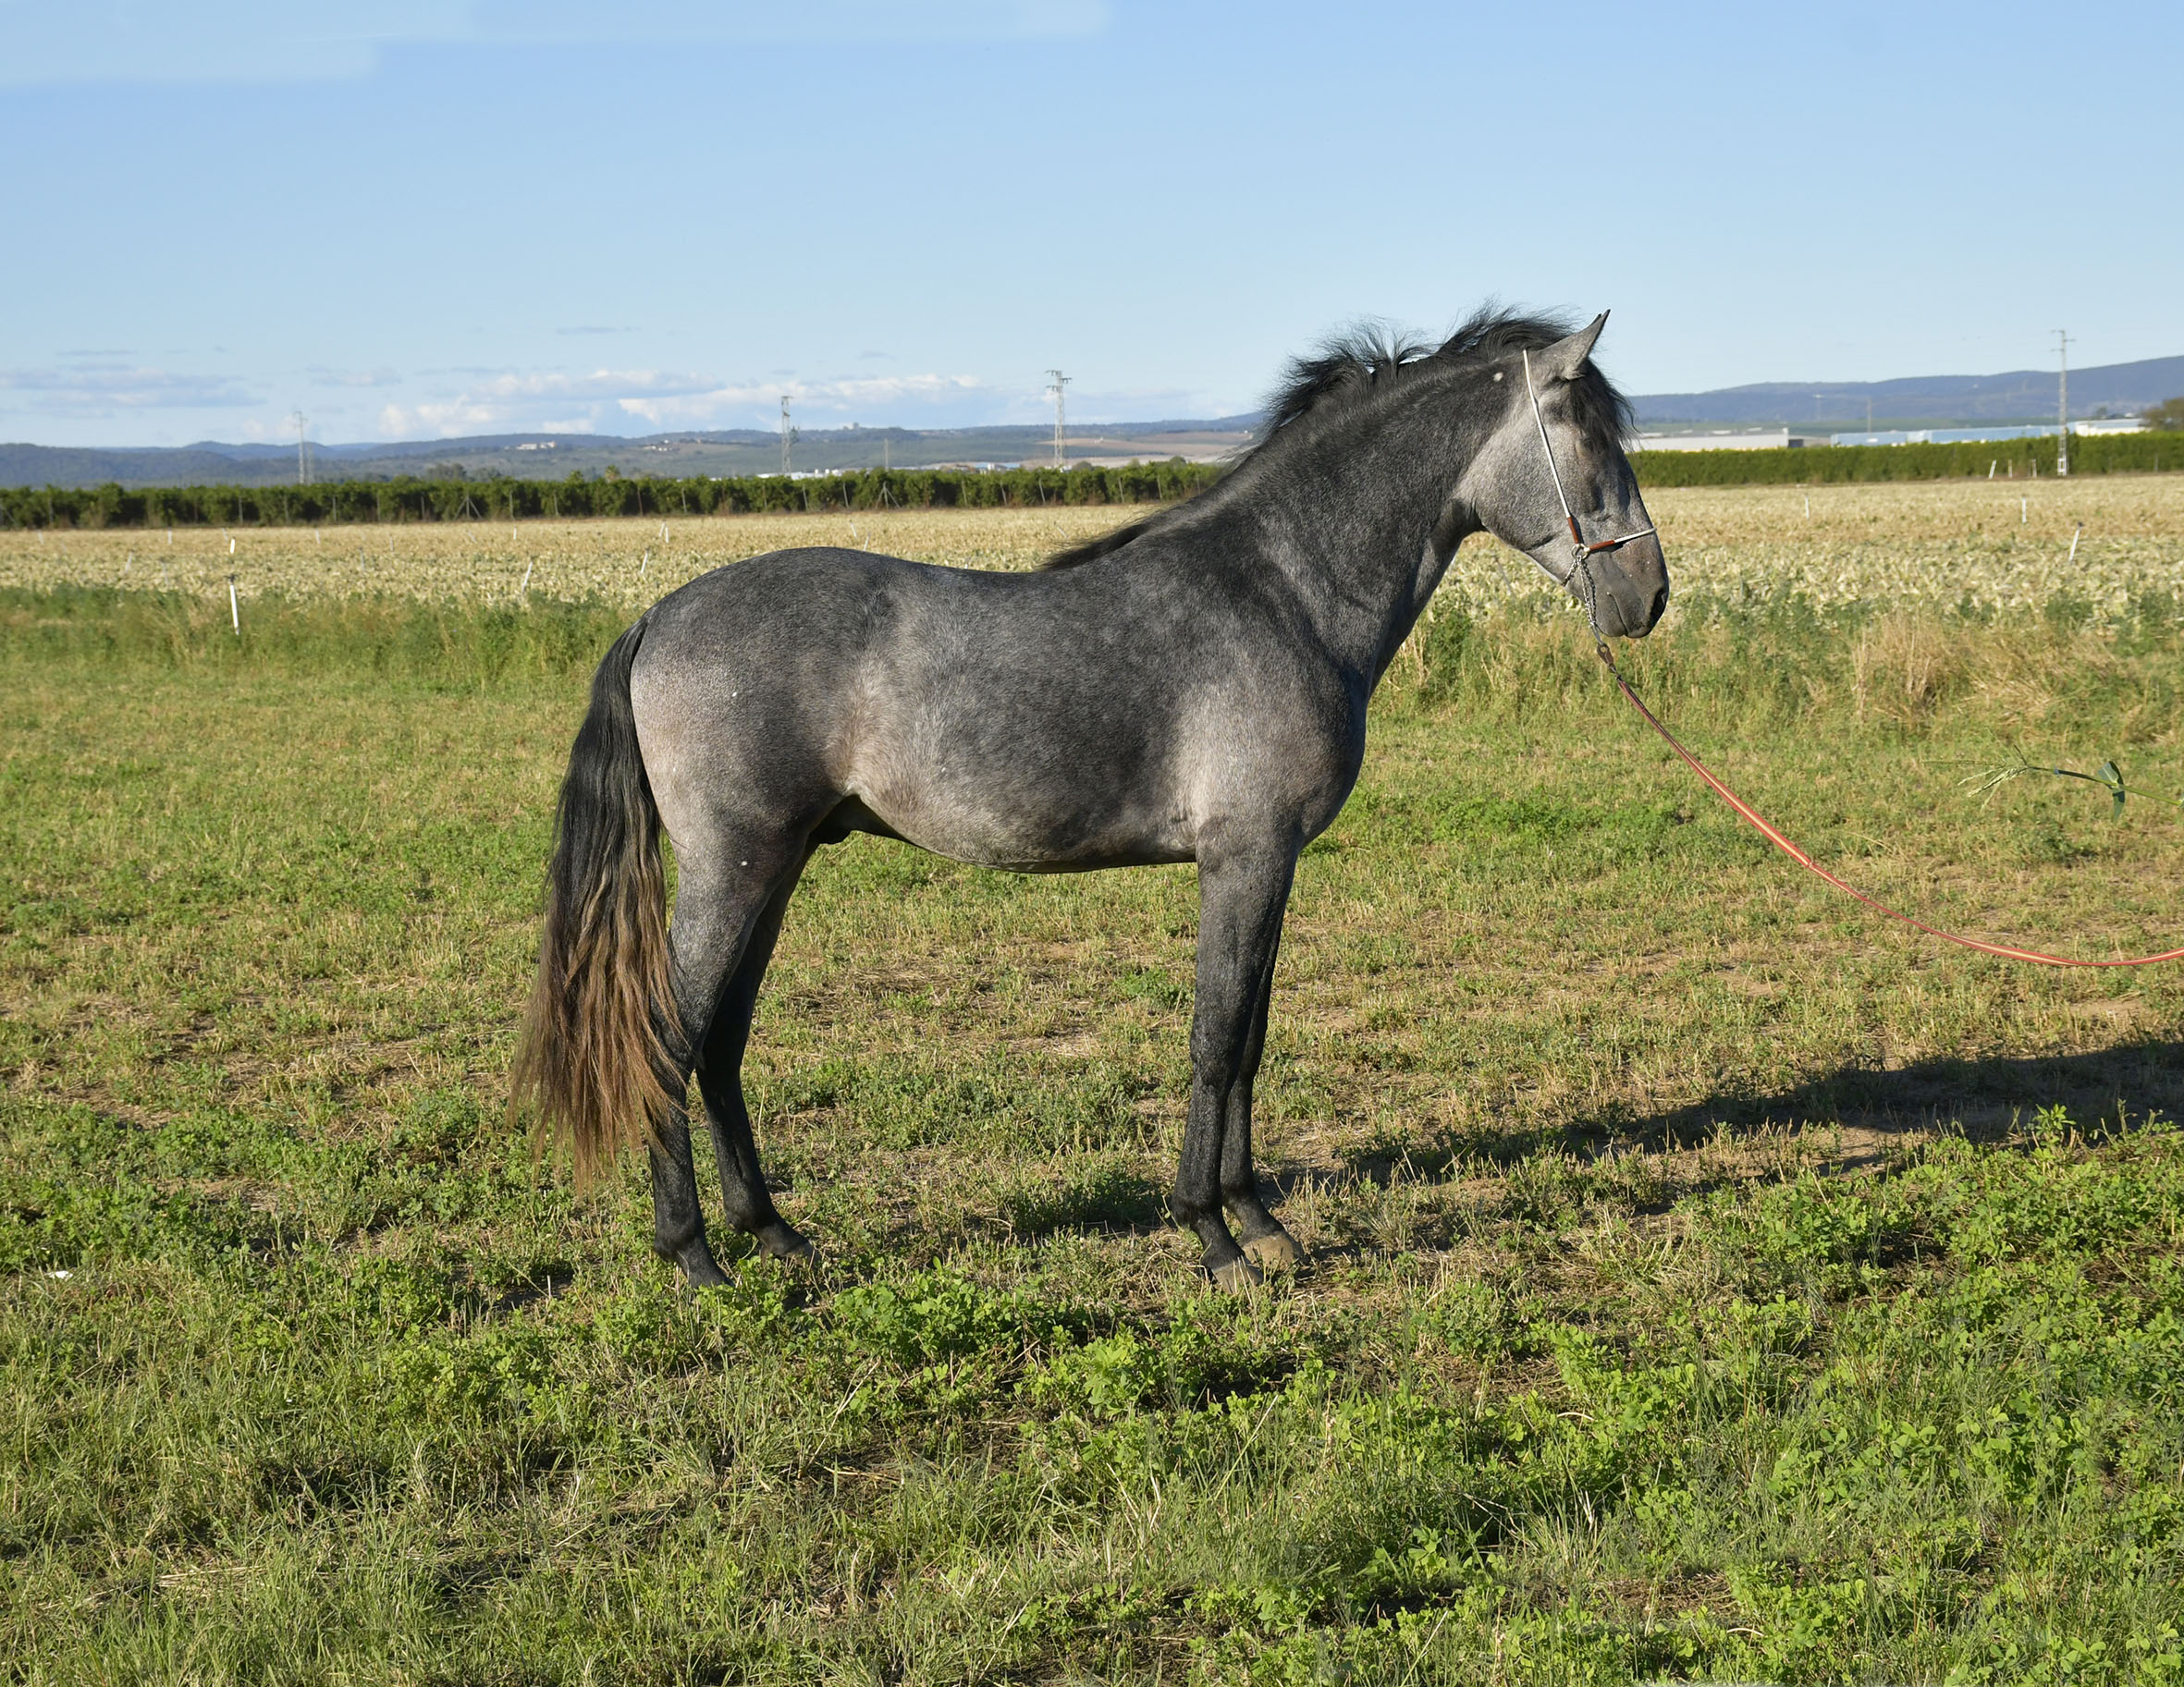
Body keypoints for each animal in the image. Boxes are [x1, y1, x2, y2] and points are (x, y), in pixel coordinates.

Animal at [515, 305, 1668, 1291]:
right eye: (1590, 440)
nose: (1648, 597)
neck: (1283, 589)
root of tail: (657, 615)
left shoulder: (1268, 862)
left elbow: (1249, 1036)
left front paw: (1259, 1220)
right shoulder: (1244, 855)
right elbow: (1215, 1035)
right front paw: (1213, 1236)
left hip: (778, 864)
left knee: (721, 1043)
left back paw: (777, 1236)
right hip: (736, 865)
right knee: (670, 1040)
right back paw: (695, 1258)